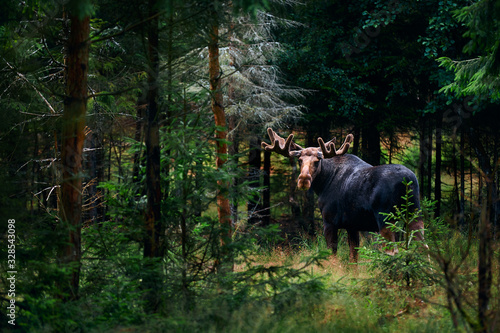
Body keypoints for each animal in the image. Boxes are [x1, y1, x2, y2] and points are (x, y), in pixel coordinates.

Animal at [262, 128, 426, 260]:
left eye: (317, 160)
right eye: (300, 160)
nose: (303, 180)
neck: (323, 184)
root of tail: (407, 181)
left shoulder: (329, 221)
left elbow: (332, 255)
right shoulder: (352, 225)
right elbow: (353, 258)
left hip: (386, 218)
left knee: (393, 251)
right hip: (415, 214)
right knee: (423, 248)